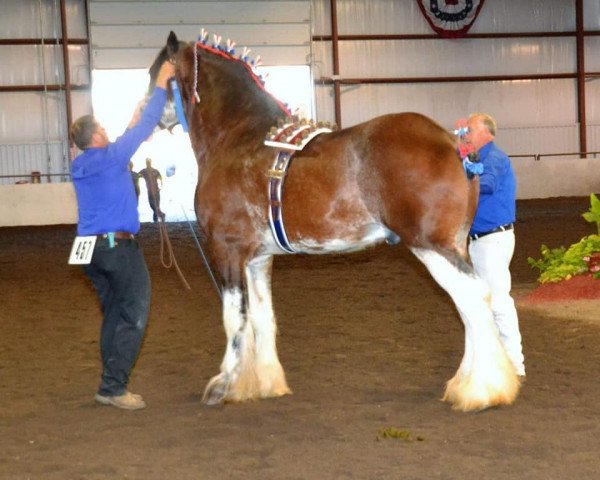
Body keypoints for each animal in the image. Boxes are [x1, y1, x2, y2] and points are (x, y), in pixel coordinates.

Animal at [148, 31, 516, 412]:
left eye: (155, 75)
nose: (145, 116)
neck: (238, 139)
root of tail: (453, 144)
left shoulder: (227, 249)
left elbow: (235, 318)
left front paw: (223, 385)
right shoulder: (257, 258)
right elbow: (263, 317)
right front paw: (264, 383)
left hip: (432, 246)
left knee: (473, 297)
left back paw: (479, 389)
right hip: (454, 244)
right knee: (470, 305)